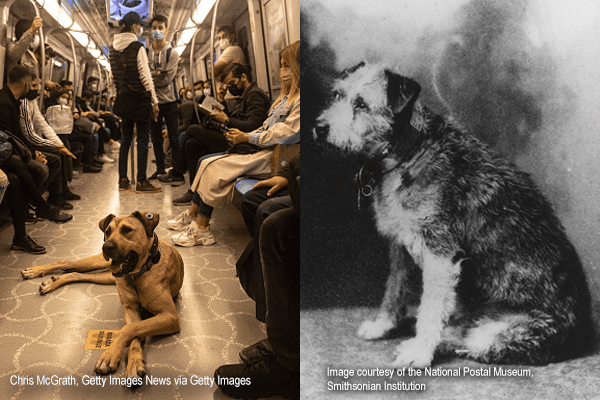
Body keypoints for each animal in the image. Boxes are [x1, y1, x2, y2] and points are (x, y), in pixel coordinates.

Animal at [20, 211, 183, 380]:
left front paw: (126, 361)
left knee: (76, 273)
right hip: (98, 263)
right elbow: (131, 328)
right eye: (107, 231)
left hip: (107, 276)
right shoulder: (131, 310)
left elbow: (132, 329)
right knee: (67, 262)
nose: (107, 246)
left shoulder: (169, 316)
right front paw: (118, 357)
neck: (136, 275)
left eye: (127, 230)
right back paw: (36, 271)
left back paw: (53, 281)